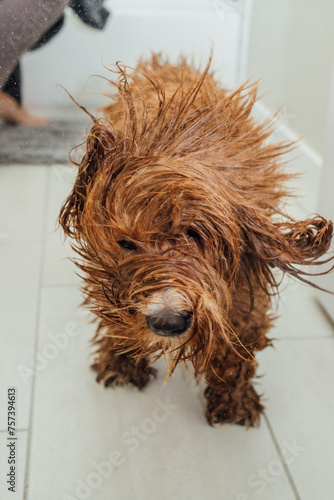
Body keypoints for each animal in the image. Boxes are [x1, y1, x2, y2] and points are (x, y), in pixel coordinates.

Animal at [58, 57, 332, 426]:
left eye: (194, 235)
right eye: (126, 243)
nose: (168, 322)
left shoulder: (245, 283)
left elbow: (239, 336)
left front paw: (233, 399)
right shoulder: (107, 273)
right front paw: (120, 361)